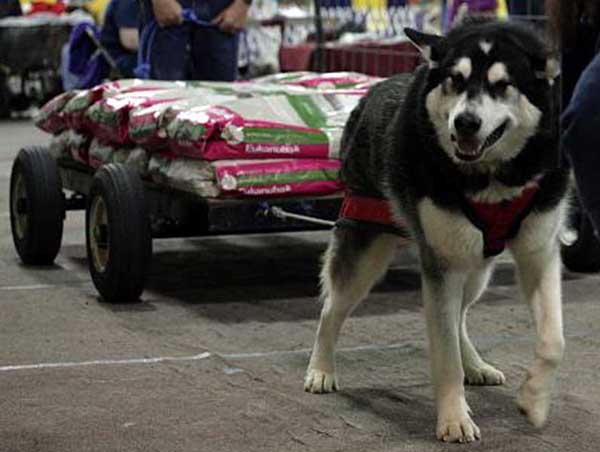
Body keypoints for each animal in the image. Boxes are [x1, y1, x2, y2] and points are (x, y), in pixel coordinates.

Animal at [304, 17, 568, 442]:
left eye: (502, 84)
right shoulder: (442, 262)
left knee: (458, 315)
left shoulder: (537, 252)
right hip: (368, 245)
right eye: (454, 80)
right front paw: (454, 418)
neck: (493, 179)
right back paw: (321, 368)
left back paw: (475, 364)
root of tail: (372, 89)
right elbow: (444, 354)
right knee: (333, 306)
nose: (466, 122)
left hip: (475, 266)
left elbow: (554, 339)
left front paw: (535, 398)